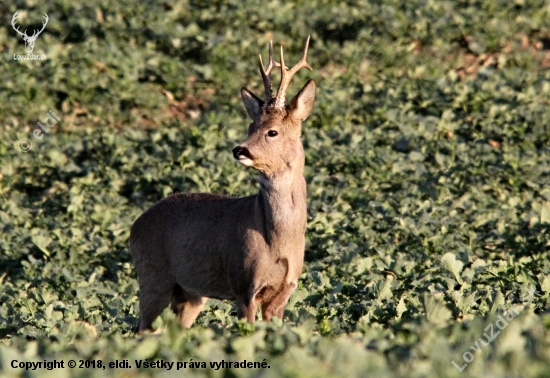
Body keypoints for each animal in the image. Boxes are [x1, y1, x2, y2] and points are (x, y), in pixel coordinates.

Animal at [130, 37, 320, 332]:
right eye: (251, 126)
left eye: (272, 131)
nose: (240, 149)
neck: (278, 240)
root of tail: (134, 227)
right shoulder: (243, 284)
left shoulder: (284, 291)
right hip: (153, 276)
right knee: (142, 329)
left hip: (189, 293)